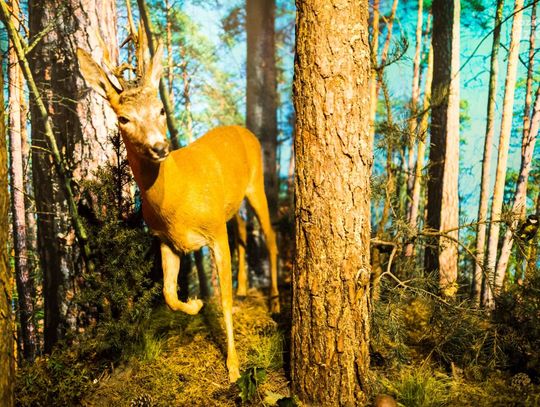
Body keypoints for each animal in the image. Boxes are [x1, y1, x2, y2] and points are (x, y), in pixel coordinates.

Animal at [76, 44, 279, 382]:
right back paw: (243, 288)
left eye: (161, 110)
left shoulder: (214, 231)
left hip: (256, 184)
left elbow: (222, 300)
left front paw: (233, 367)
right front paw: (195, 304)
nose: (160, 147)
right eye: (123, 118)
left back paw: (274, 303)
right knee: (241, 229)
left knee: (271, 235)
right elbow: (169, 294)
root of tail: (242, 128)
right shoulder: (165, 239)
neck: (175, 200)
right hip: (231, 204)